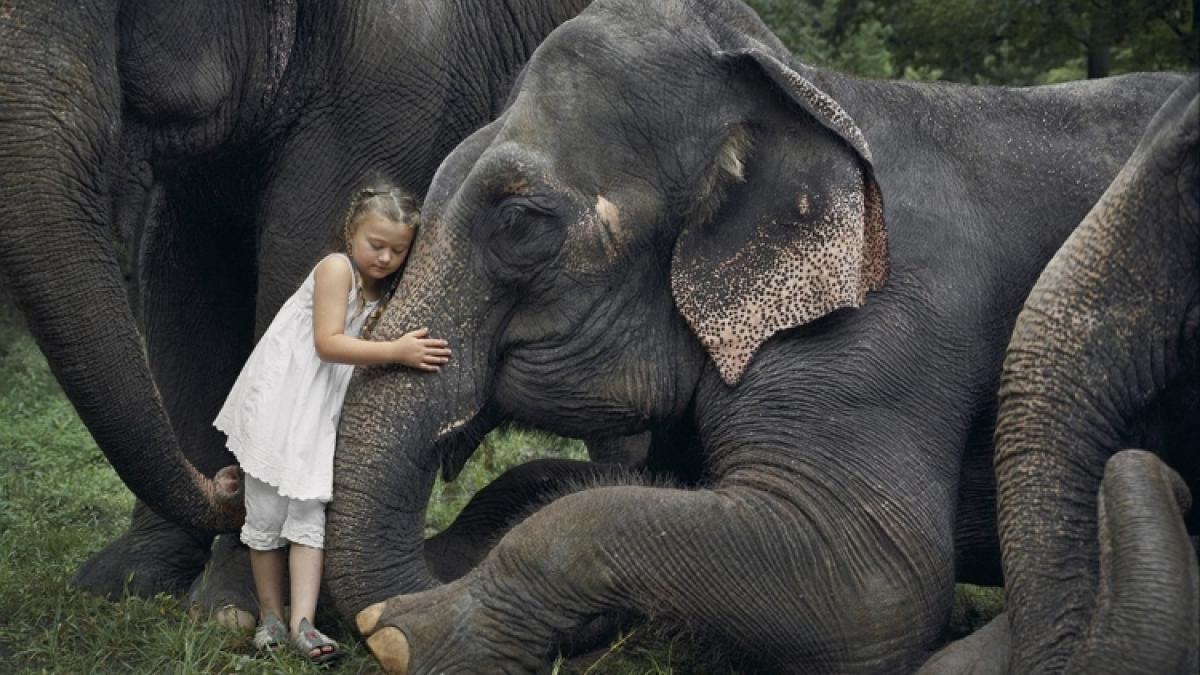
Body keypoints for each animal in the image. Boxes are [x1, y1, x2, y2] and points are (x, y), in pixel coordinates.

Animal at [0, 0, 595, 607]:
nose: (227, 482)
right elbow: (182, 279)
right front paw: (122, 584)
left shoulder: (402, 70)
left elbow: (297, 253)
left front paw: (230, 605)